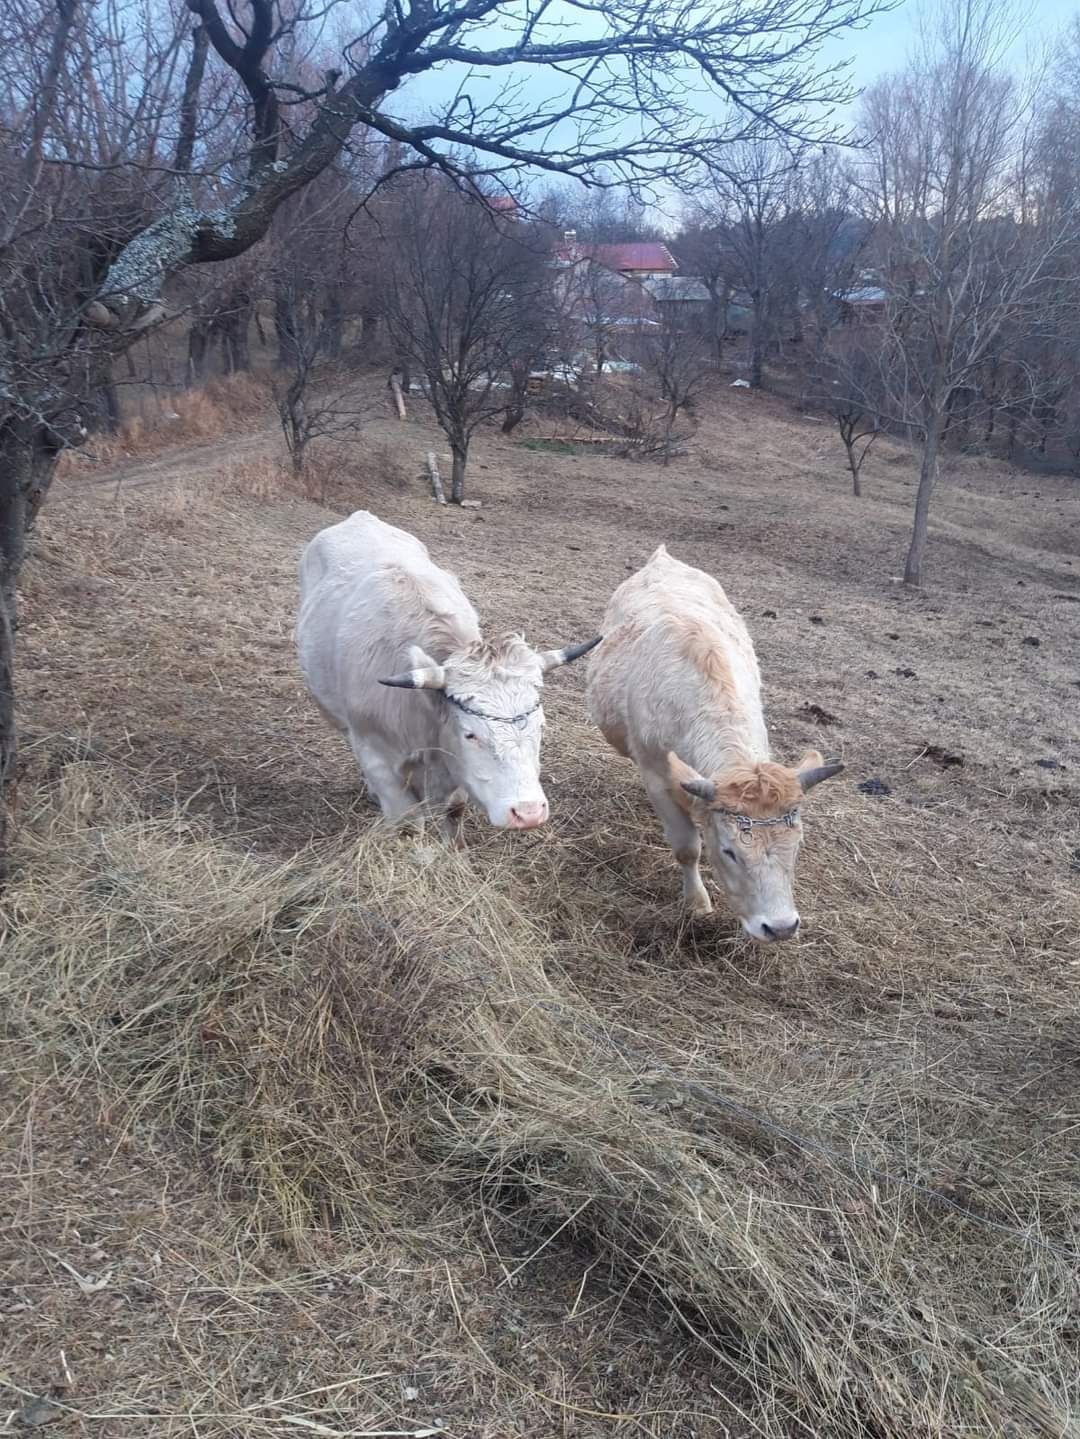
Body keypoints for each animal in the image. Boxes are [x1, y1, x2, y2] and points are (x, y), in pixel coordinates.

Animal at [296, 512, 601, 840]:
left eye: (541, 727)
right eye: (470, 734)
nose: (528, 812)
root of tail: (360, 517)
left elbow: (454, 810)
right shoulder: (379, 759)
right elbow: (407, 826)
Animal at [586, 543, 839, 938]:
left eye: (797, 844)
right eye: (730, 851)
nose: (781, 927)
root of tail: (662, 557)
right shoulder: (656, 773)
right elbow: (687, 848)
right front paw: (697, 903)